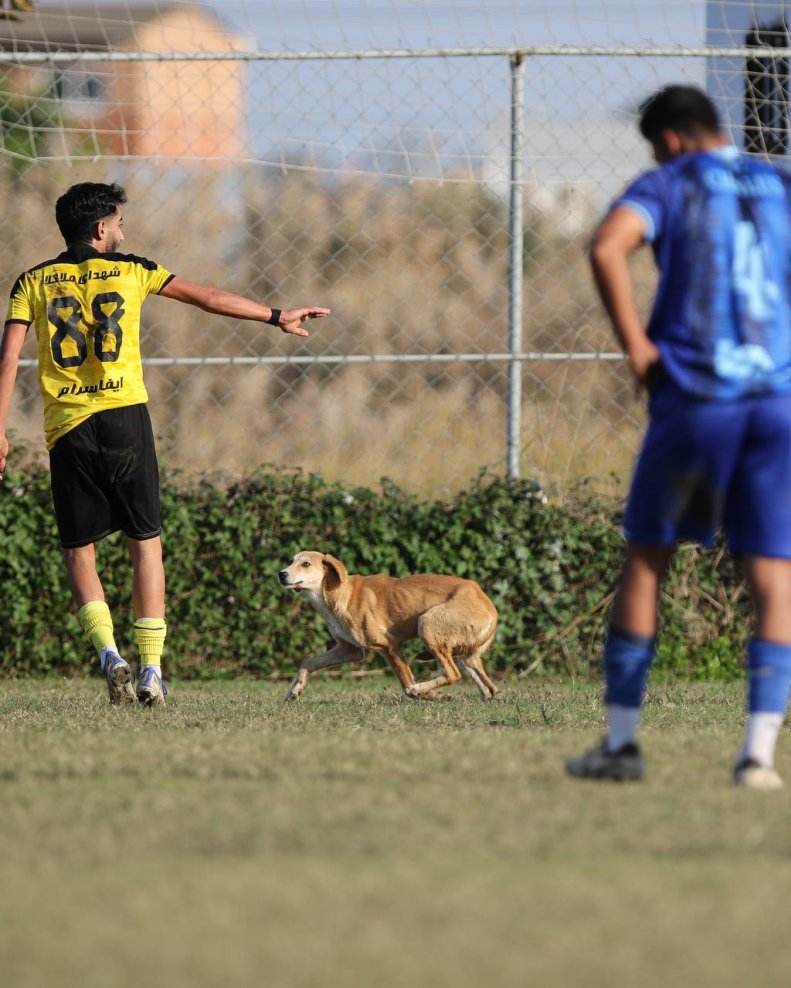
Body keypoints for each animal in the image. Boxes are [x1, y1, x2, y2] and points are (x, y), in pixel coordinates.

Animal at [280, 548, 502, 704]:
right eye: (290, 561)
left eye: (306, 564)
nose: (281, 574)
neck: (338, 593)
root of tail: (490, 607)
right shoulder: (348, 650)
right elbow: (308, 662)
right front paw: (295, 690)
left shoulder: (390, 645)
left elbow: (406, 684)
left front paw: (431, 695)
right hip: (464, 654)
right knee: (489, 686)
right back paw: (486, 695)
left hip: (426, 624)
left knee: (452, 674)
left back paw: (421, 688)